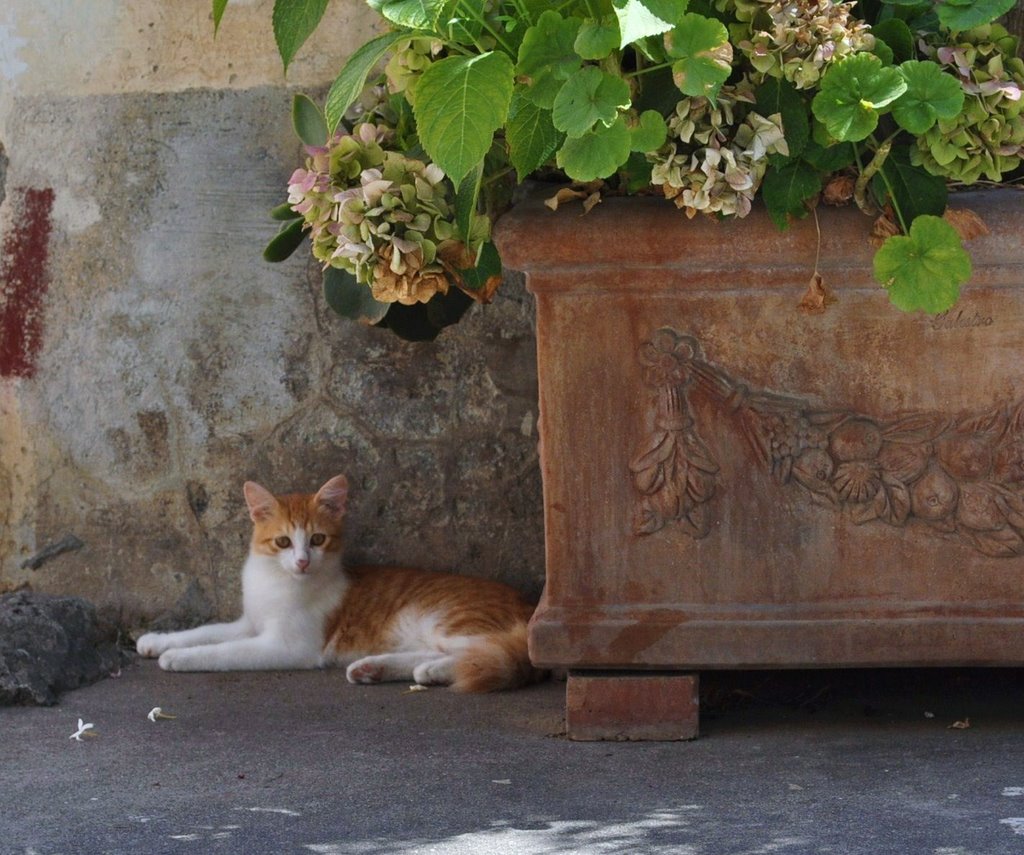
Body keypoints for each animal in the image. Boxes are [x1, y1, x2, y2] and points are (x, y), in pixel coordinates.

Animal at [136, 477, 544, 692]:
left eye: (317, 539)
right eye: (283, 542)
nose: (302, 561)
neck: (277, 581)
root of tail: (529, 605)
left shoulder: (286, 646)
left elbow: (222, 652)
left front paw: (180, 658)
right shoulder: (249, 623)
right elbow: (204, 631)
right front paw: (157, 641)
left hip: (447, 622)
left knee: (483, 654)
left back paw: (430, 671)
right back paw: (378, 669)